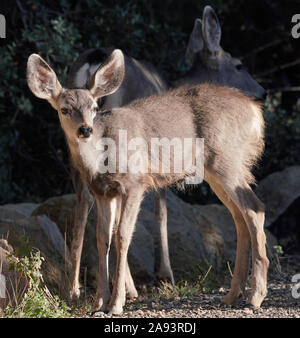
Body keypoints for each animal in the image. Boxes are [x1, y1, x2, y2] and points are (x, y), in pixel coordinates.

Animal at [27, 49, 268, 314]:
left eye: (93, 107)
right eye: (65, 109)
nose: (85, 130)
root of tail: (256, 113)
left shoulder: (136, 182)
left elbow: (123, 235)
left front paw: (116, 303)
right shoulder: (104, 192)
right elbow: (102, 239)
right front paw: (100, 302)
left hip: (228, 162)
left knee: (255, 209)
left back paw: (255, 296)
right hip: (217, 171)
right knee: (240, 217)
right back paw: (232, 295)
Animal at [65, 4, 264, 302]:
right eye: (238, 64)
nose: (262, 92)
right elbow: (162, 213)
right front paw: (165, 275)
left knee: (82, 203)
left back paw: (74, 289)